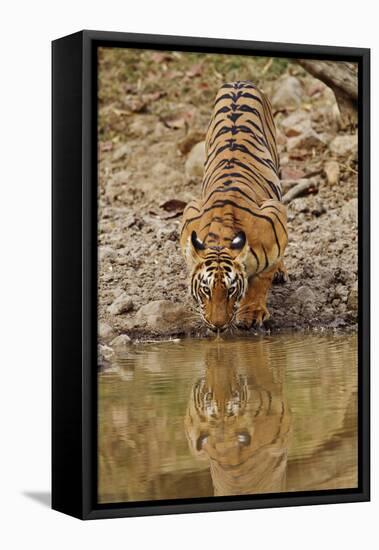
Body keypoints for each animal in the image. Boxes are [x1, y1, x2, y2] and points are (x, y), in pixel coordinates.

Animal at [181, 81, 288, 332]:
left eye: (231, 290)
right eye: (206, 290)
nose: (218, 326)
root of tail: (238, 82)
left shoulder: (275, 215)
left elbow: (261, 280)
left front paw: (251, 313)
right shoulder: (189, 213)